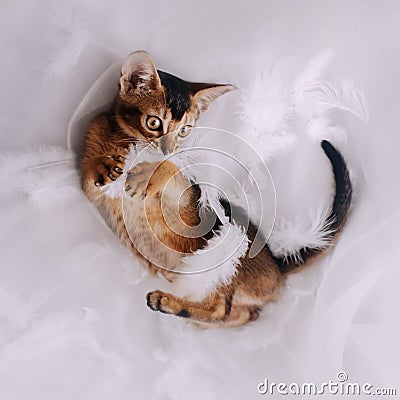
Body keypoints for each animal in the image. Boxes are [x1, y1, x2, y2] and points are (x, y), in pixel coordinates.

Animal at [80, 50, 350, 328]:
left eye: (185, 131)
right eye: (154, 122)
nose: (168, 149)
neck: (122, 141)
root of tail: (276, 264)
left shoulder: (188, 195)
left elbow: (174, 169)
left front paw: (152, 172)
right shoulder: (95, 187)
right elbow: (89, 179)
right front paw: (100, 164)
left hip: (228, 257)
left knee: (220, 308)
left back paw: (168, 303)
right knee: (243, 314)